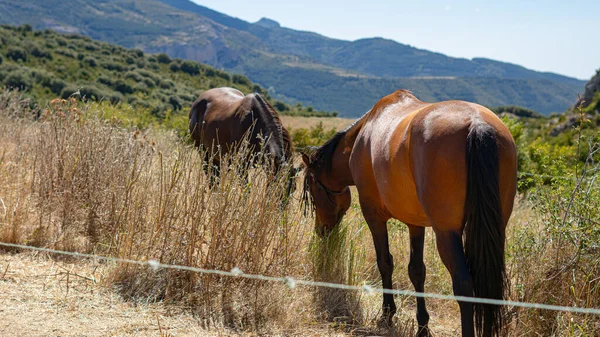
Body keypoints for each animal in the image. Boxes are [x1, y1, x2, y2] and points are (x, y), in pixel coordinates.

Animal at [302, 90, 516, 336]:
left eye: (313, 191)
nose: (321, 230)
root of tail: (477, 124)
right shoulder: (416, 224)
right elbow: (417, 271)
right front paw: (422, 326)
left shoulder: (374, 217)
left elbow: (385, 262)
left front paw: (387, 315)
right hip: (495, 231)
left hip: (446, 234)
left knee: (463, 285)